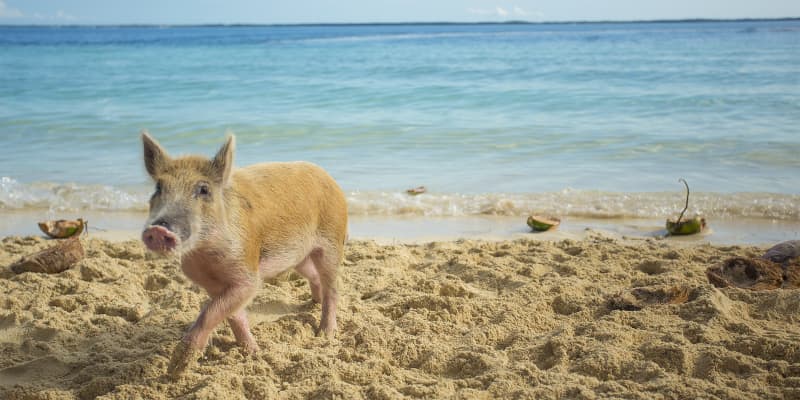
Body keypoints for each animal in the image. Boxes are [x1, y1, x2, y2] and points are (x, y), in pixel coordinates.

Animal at [139, 130, 346, 376]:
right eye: (158, 188)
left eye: (203, 189)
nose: (158, 228)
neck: (204, 255)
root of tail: (330, 179)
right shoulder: (210, 283)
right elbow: (232, 315)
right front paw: (253, 352)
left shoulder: (247, 272)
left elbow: (210, 312)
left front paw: (176, 369)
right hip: (299, 257)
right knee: (314, 276)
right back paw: (313, 302)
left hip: (333, 240)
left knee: (333, 287)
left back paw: (325, 333)